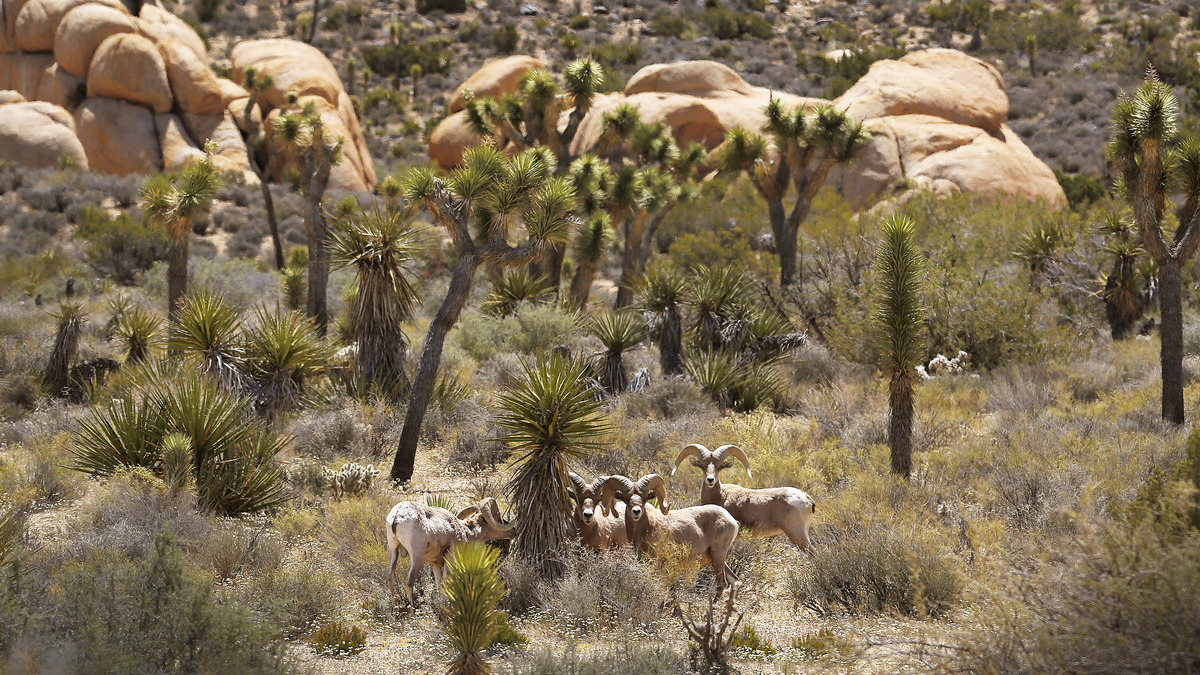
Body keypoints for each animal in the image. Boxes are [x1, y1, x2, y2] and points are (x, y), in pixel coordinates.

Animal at [385, 496, 514, 604]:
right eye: (498, 517)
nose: (513, 531)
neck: (465, 532)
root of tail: (397, 515)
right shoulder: (450, 559)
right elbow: (446, 582)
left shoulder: (435, 565)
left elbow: (438, 584)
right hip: (416, 557)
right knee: (409, 583)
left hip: (393, 551)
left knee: (390, 578)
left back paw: (394, 608)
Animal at [598, 474, 740, 587]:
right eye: (626, 499)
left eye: (644, 498)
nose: (636, 511)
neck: (646, 529)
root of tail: (732, 521)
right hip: (717, 559)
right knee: (734, 580)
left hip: (718, 556)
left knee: (722, 584)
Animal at [672, 443, 816, 550]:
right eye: (702, 466)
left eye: (719, 467)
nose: (710, 480)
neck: (721, 496)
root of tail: (807, 499)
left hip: (797, 535)